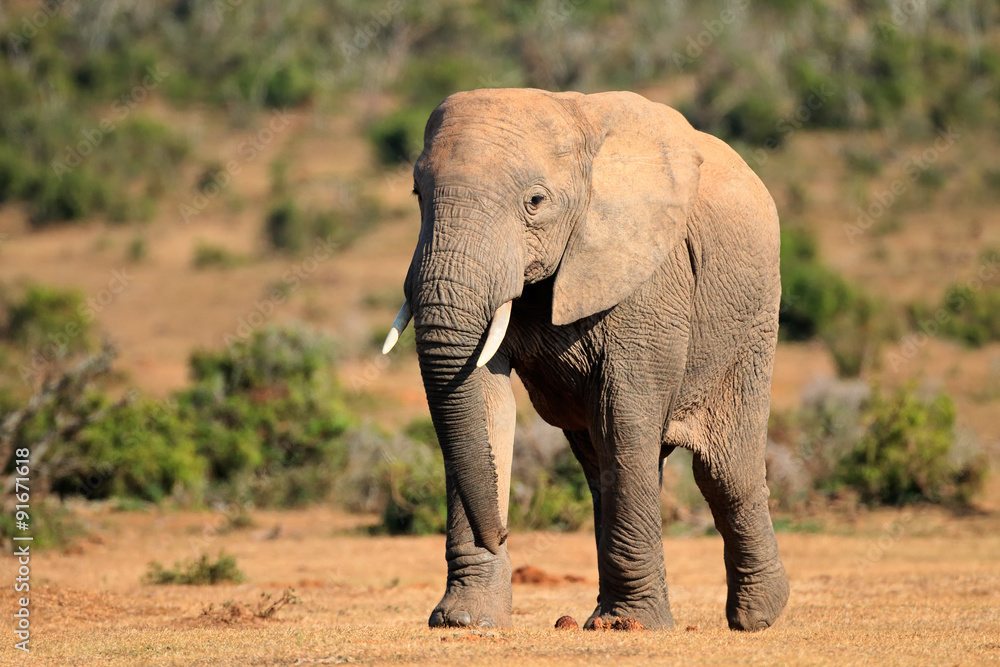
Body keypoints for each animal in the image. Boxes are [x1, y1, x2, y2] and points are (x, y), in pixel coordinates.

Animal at [382, 87, 788, 632]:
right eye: (418, 195)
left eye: (535, 202)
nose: (502, 534)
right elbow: (485, 404)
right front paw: (463, 621)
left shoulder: (650, 270)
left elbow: (626, 412)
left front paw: (630, 627)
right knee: (601, 463)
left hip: (754, 317)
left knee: (723, 469)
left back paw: (757, 617)